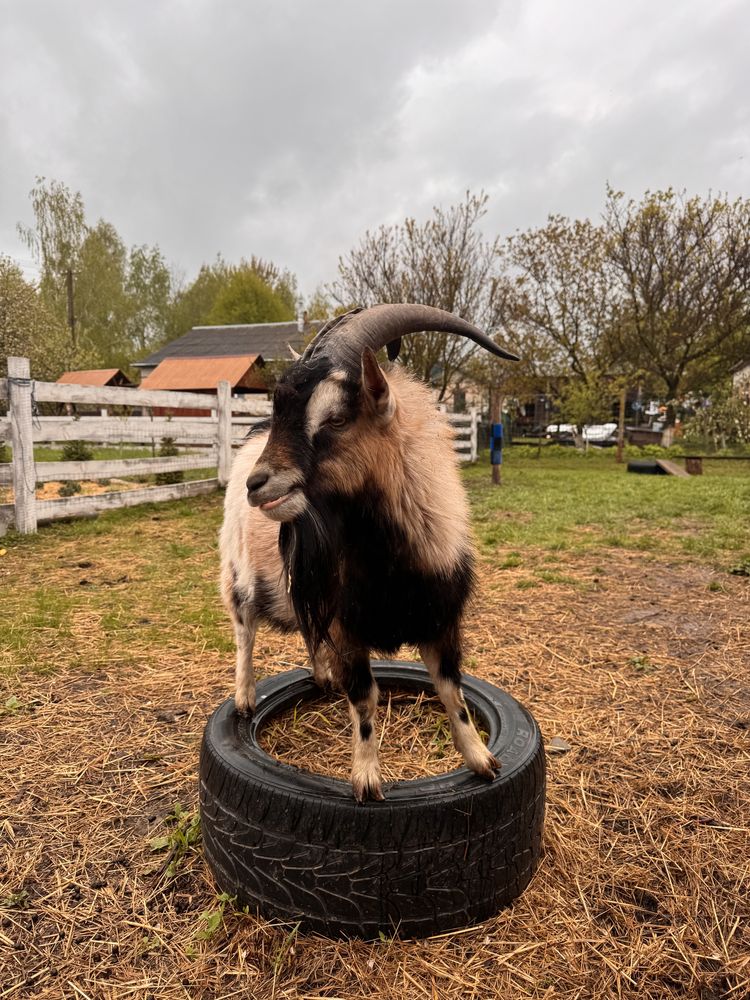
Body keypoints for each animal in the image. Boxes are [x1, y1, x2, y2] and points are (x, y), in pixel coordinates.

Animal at [220, 300, 520, 800]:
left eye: (337, 418)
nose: (257, 484)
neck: (391, 567)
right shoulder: (347, 630)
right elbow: (365, 696)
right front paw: (366, 779)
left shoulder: (441, 620)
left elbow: (451, 690)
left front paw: (481, 760)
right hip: (239, 574)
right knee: (245, 631)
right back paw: (244, 698)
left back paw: (321, 676)